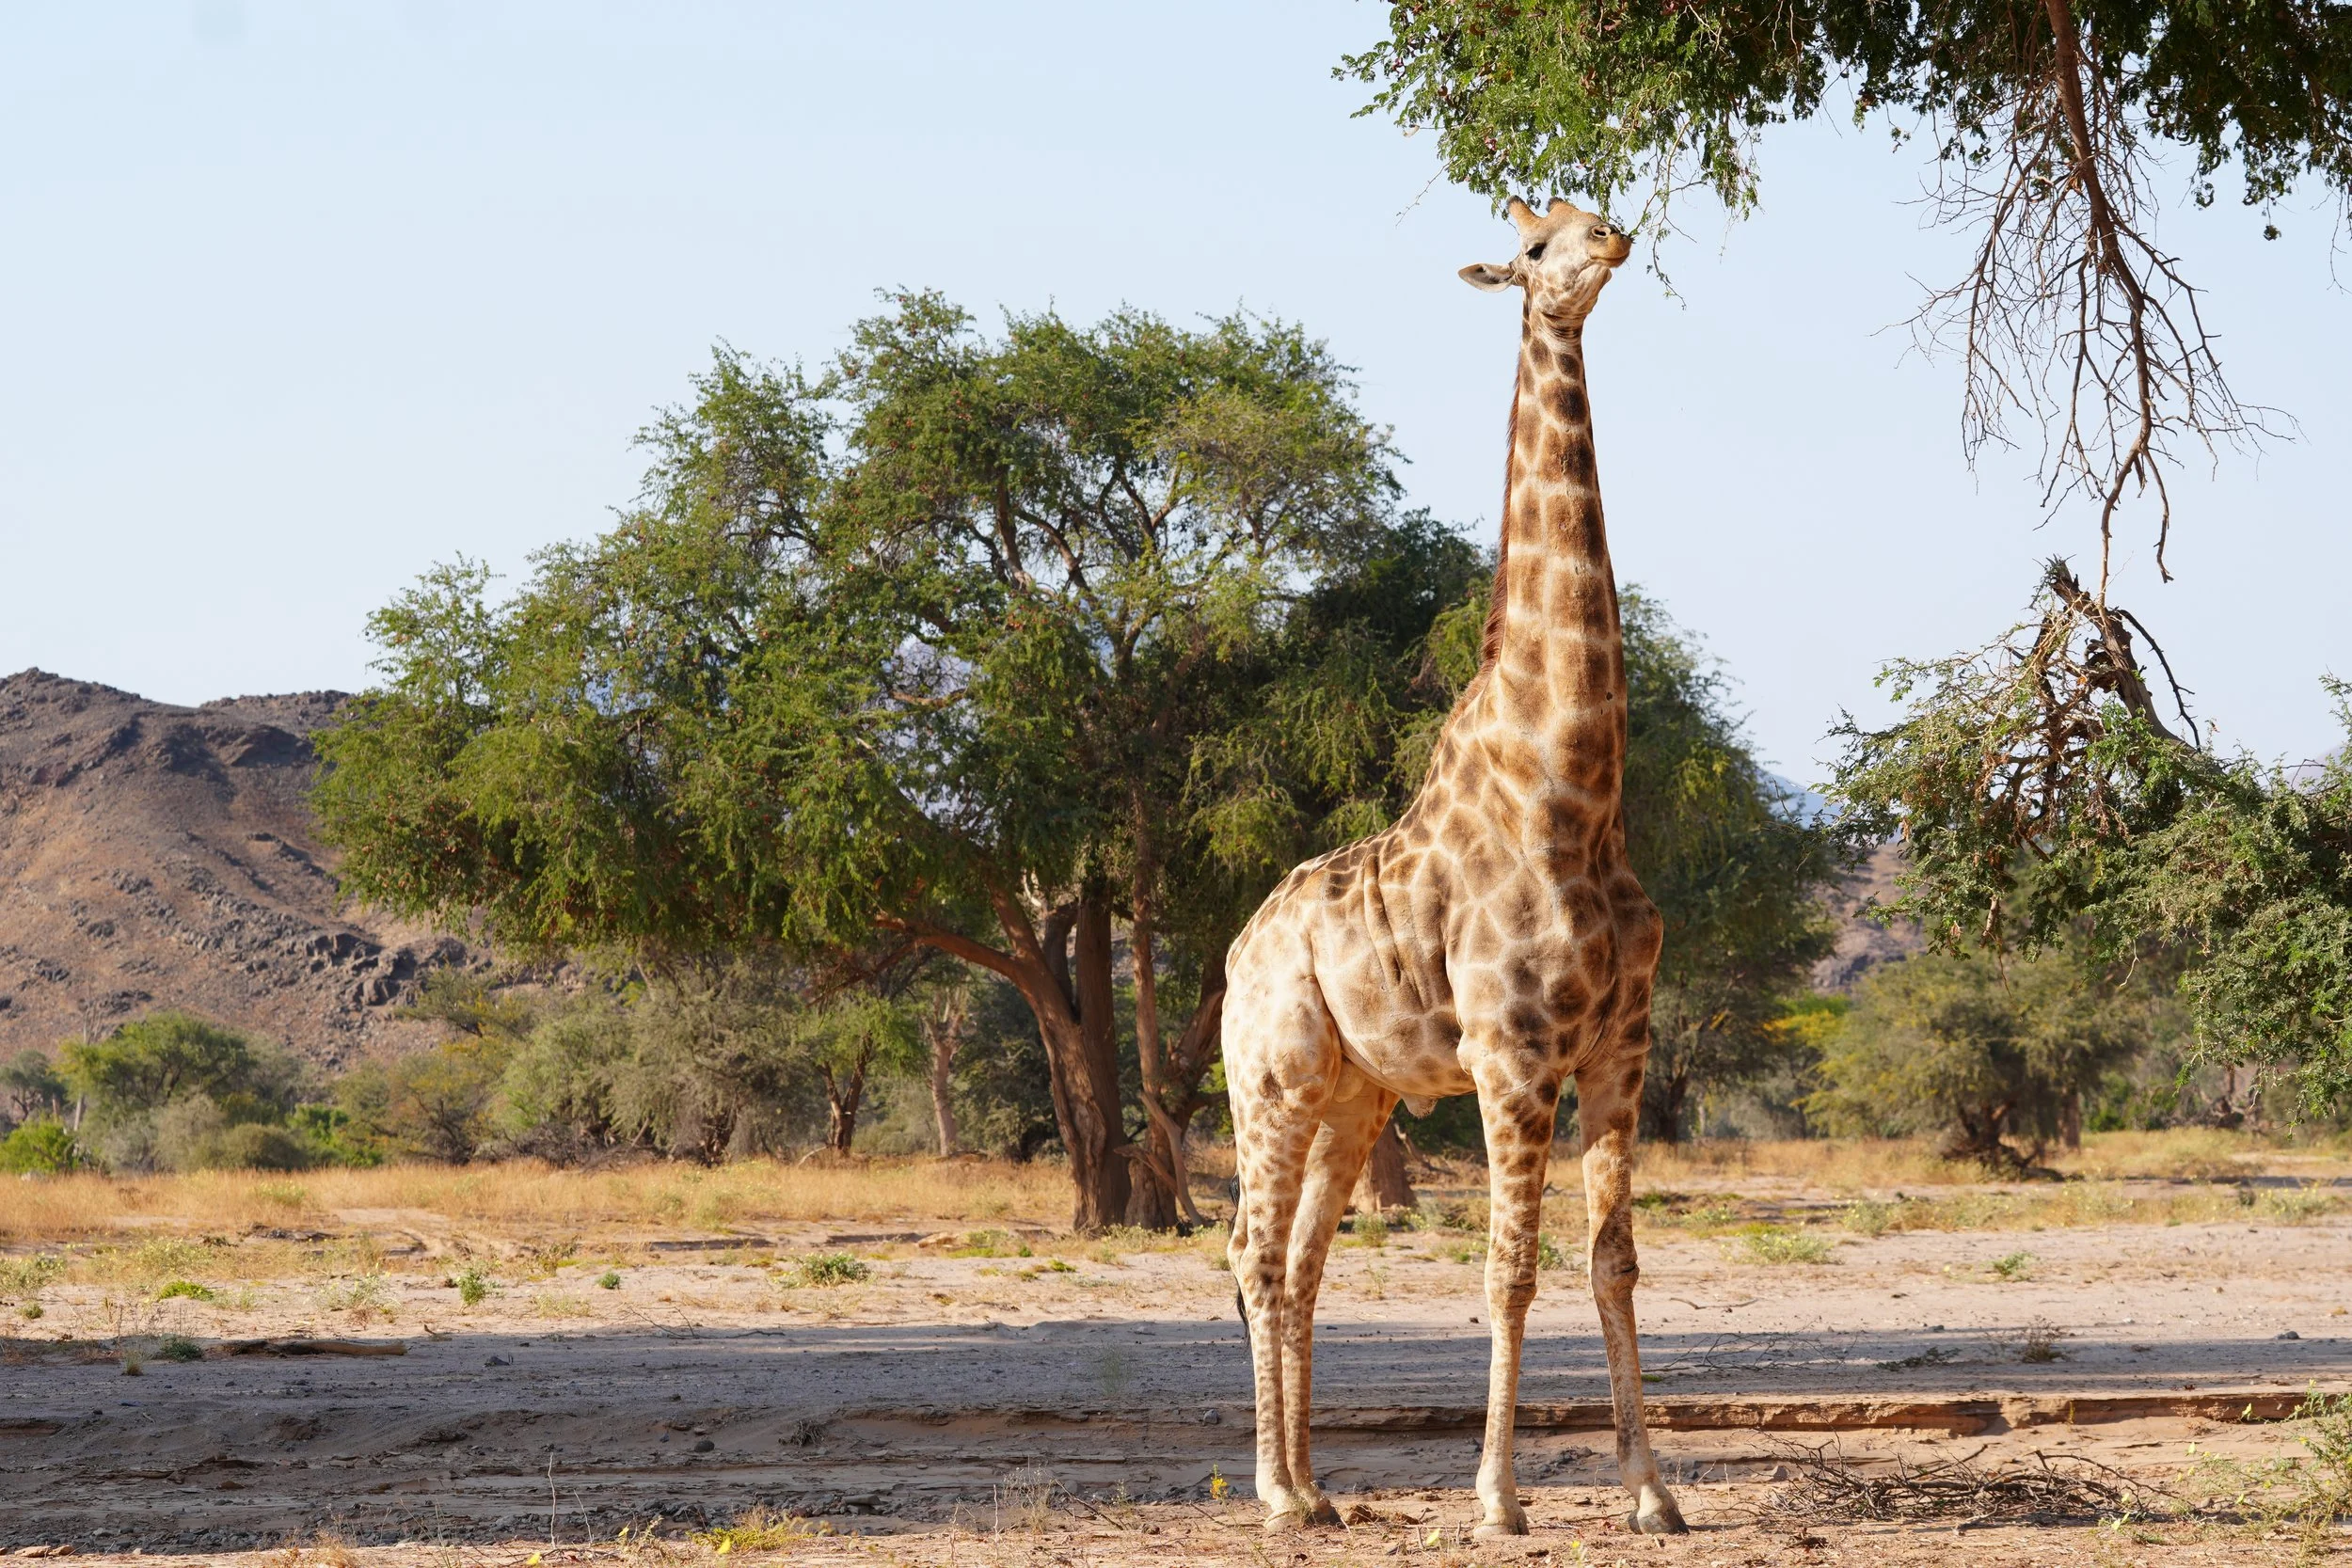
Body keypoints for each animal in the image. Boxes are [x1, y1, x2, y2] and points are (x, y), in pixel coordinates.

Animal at [1220, 197, 1684, 1539]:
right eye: (1533, 248)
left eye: (1586, 209)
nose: (1610, 241)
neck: (1575, 790)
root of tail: (1235, 947)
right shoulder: (1512, 1052)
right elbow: (1508, 1267)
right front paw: (1496, 1498)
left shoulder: (1621, 1046)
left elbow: (1613, 1260)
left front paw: (1653, 1493)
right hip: (1265, 1080)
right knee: (1252, 1254)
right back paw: (1272, 1495)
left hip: (1352, 1096)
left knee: (1304, 1260)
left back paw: (1315, 1488)